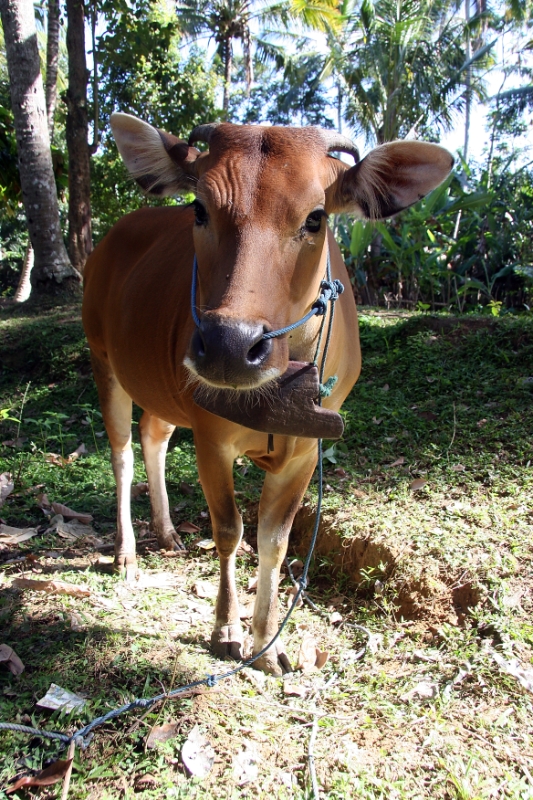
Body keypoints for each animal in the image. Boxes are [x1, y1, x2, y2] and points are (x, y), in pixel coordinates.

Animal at [82, 114, 448, 676]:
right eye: (199, 208)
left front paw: (268, 642)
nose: (230, 345)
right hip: (105, 360)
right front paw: (226, 628)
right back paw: (127, 553)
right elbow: (229, 530)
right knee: (121, 453)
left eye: (316, 217)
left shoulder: (306, 450)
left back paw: (165, 531)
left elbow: (274, 541)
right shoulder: (210, 435)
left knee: (153, 435)